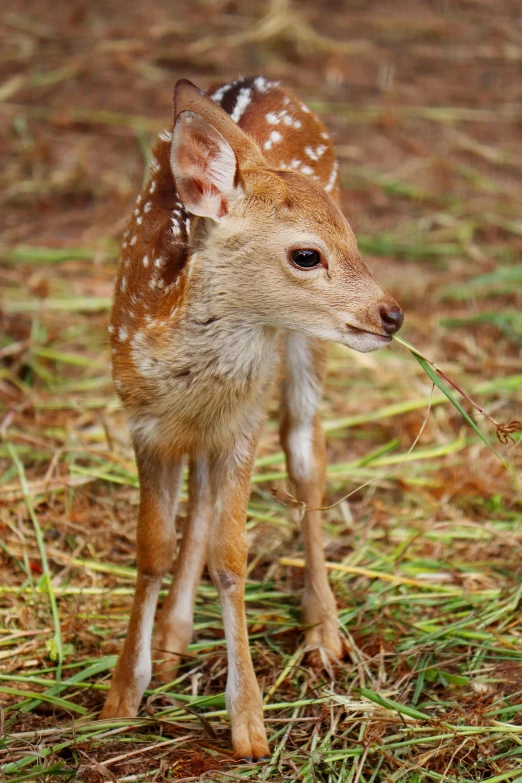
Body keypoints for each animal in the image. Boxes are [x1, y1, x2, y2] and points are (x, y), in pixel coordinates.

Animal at [101, 76, 402, 764]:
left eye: (353, 238)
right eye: (306, 254)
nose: (392, 315)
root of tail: (271, 83)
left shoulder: (242, 423)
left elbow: (231, 554)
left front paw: (249, 725)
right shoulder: (144, 421)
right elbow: (153, 546)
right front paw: (122, 696)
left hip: (298, 356)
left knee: (305, 457)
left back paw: (324, 631)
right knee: (204, 497)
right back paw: (173, 636)